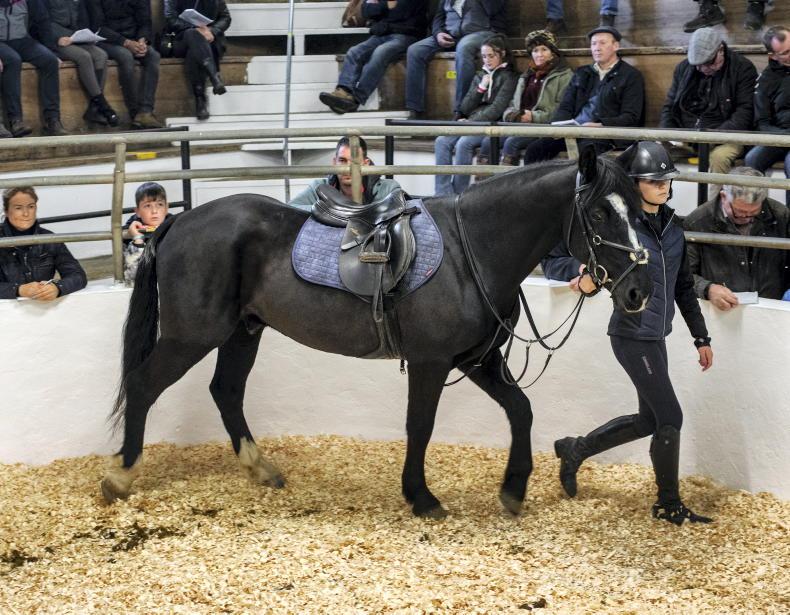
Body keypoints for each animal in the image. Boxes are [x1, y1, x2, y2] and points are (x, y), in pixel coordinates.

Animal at [101, 146, 652, 518]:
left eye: (639, 210)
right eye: (599, 212)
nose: (637, 290)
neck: (472, 250)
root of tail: (178, 223)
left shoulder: (477, 360)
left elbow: (522, 409)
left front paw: (513, 490)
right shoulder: (433, 362)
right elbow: (420, 425)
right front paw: (421, 496)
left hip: (243, 331)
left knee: (226, 391)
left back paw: (261, 469)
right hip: (193, 335)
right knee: (145, 385)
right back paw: (120, 475)